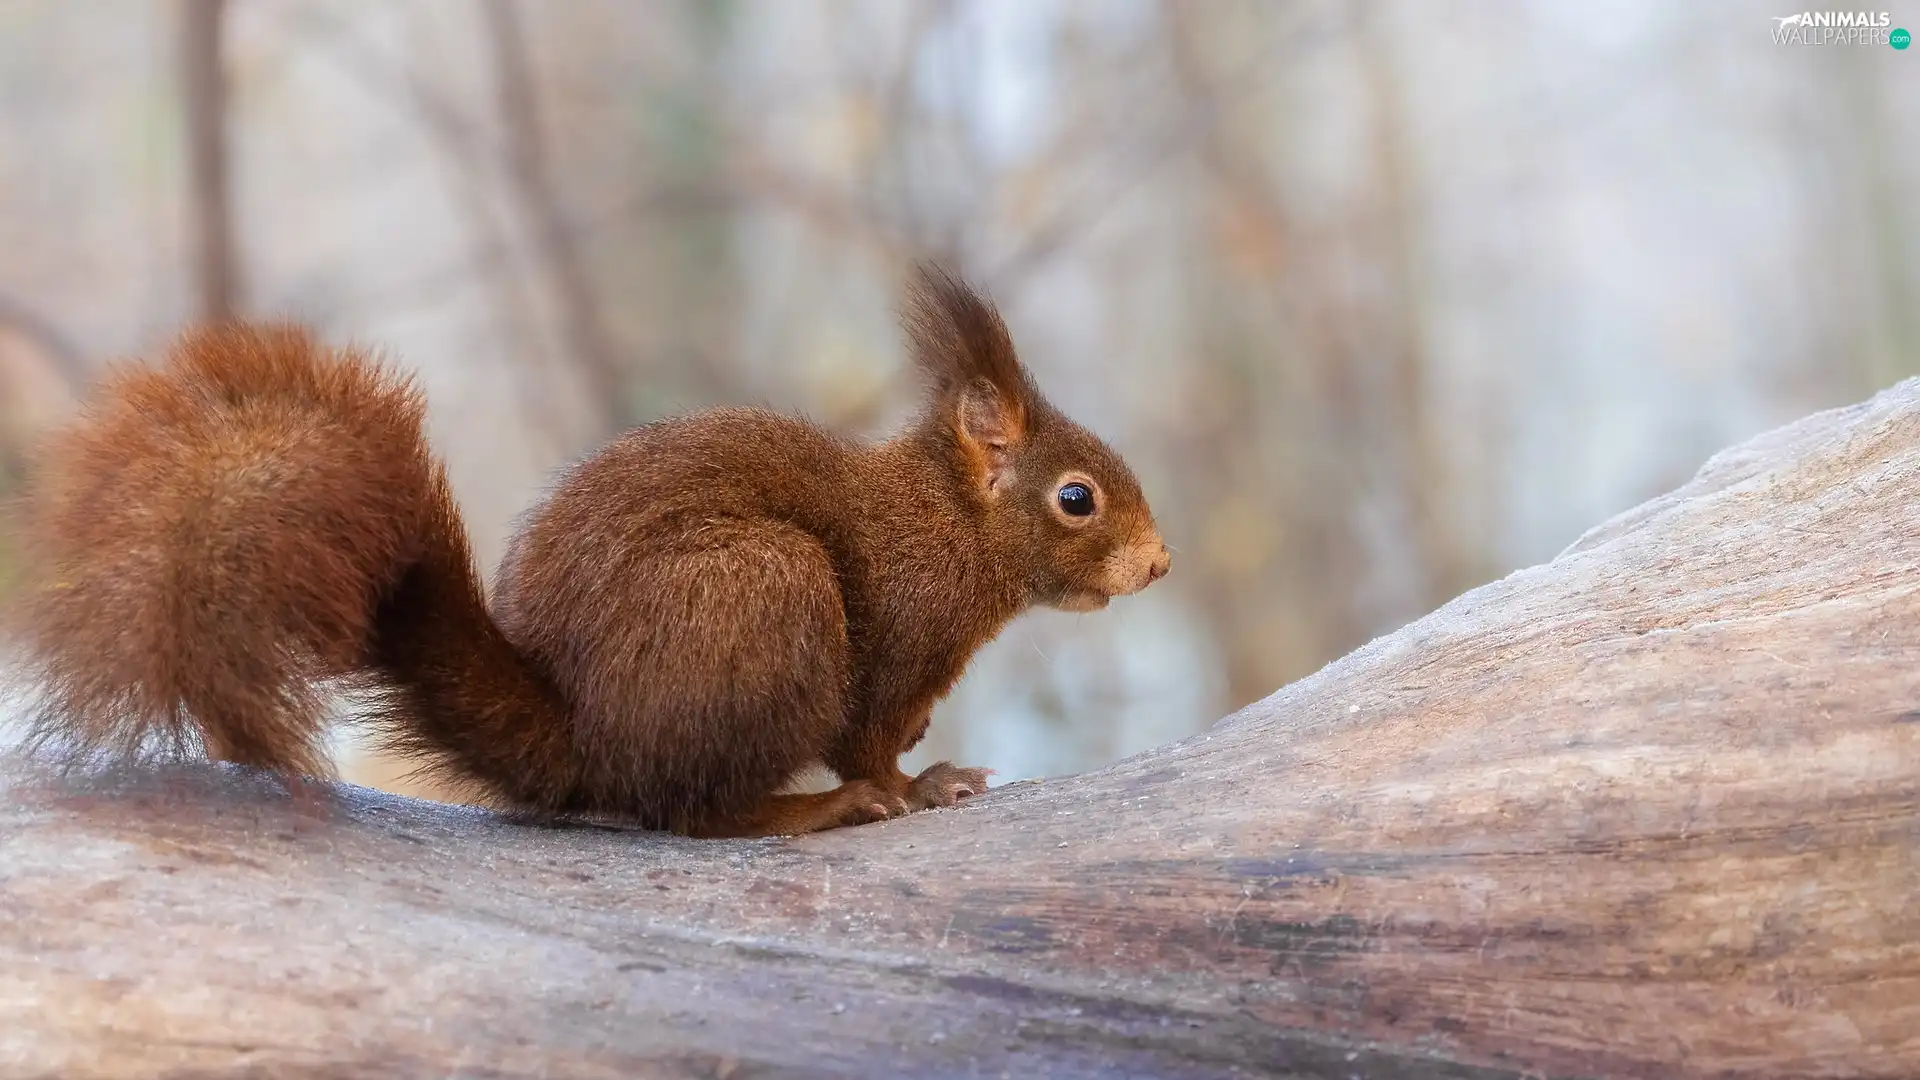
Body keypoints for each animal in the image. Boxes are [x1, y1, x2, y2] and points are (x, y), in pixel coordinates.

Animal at [7, 265, 1167, 837]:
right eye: (1076, 498)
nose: (1158, 566)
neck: (949, 523)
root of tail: (587, 738)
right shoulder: (892, 637)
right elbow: (870, 737)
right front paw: (918, 782)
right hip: (767, 593)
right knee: (692, 813)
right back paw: (817, 808)